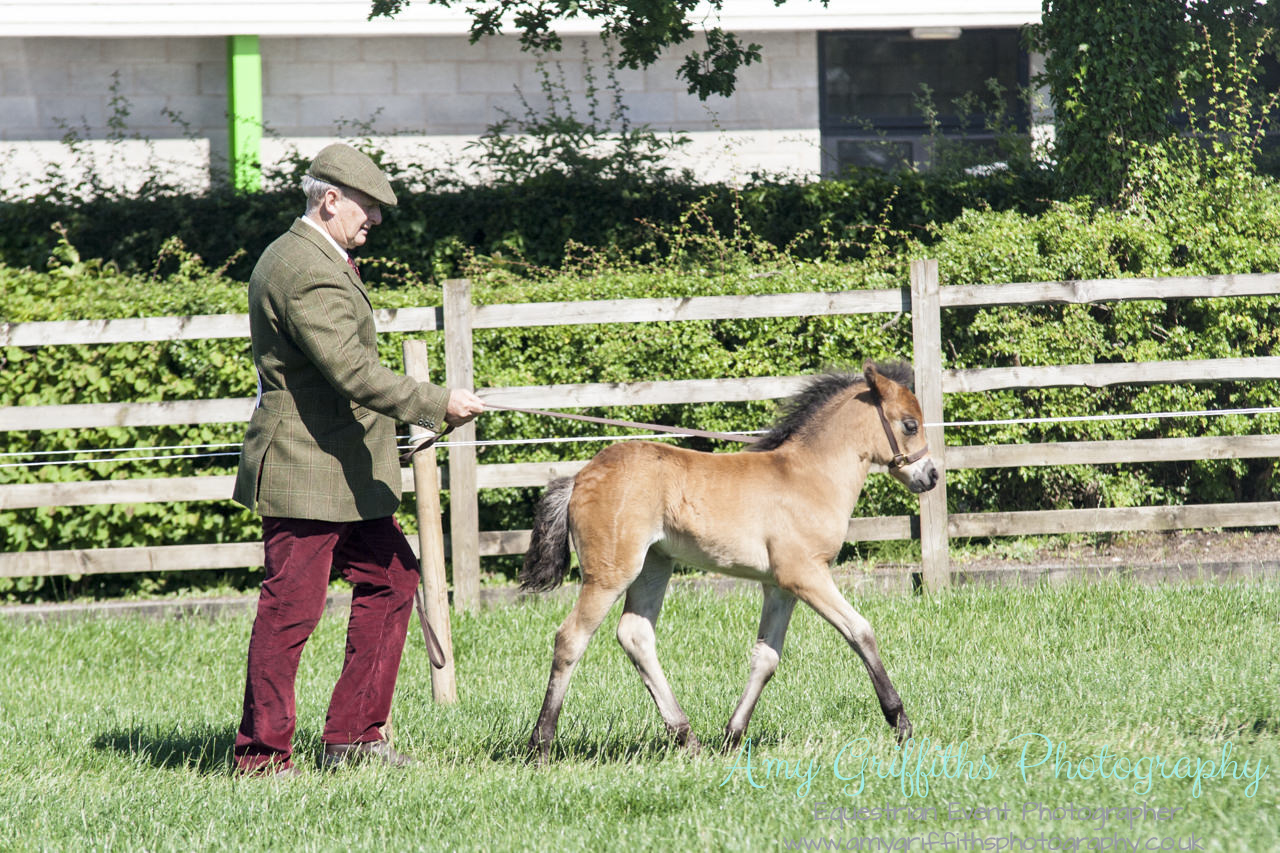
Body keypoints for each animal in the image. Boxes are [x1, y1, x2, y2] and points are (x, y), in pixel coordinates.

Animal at [519, 360, 939, 761]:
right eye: (910, 424)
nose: (931, 475)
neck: (809, 476)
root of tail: (580, 477)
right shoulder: (805, 574)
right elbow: (860, 630)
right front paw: (900, 722)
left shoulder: (780, 587)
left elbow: (766, 658)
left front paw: (732, 736)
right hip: (610, 573)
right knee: (571, 639)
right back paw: (540, 746)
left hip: (654, 565)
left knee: (635, 635)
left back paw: (687, 739)